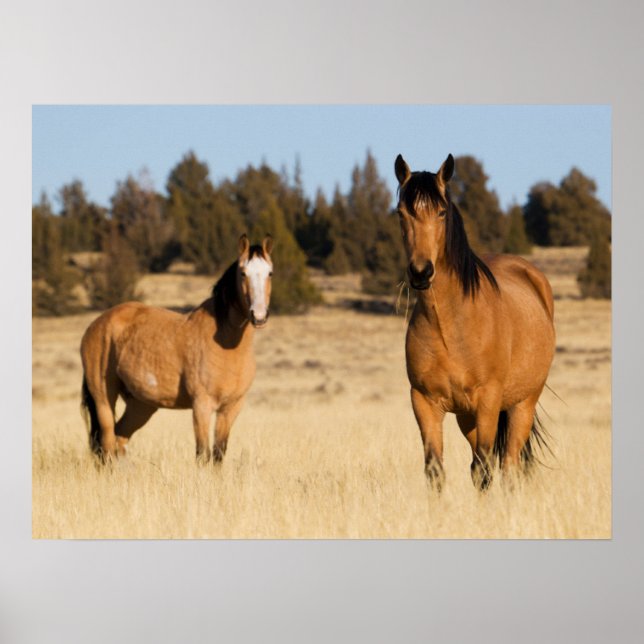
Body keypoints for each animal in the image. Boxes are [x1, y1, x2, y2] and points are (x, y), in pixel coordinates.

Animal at [80, 234, 273, 464]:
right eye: (243, 273)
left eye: (270, 272)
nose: (259, 316)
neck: (226, 344)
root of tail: (96, 324)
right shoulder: (201, 406)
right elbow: (202, 454)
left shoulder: (231, 408)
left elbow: (218, 454)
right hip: (103, 398)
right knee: (107, 444)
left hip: (141, 405)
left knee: (119, 439)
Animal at [394, 154, 555, 491]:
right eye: (401, 213)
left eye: (441, 212)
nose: (421, 272)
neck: (450, 326)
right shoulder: (425, 402)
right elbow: (436, 470)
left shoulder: (488, 402)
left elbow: (484, 469)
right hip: (466, 417)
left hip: (522, 405)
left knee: (507, 465)